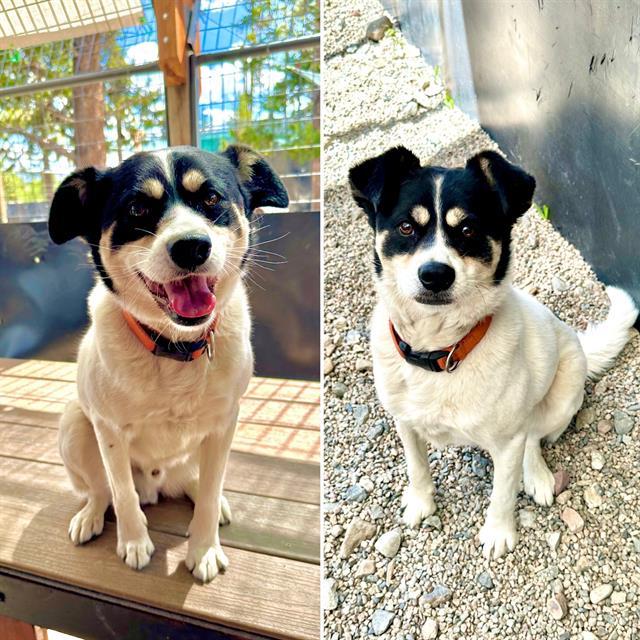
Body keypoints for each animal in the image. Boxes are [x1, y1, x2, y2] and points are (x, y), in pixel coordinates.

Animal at [48, 144, 288, 580]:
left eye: (211, 198)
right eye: (137, 209)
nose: (192, 246)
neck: (176, 347)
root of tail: (157, 485)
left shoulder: (224, 425)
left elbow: (209, 492)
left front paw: (204, 548)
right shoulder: (108, 430)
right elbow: (121, 493)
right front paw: (134, 541)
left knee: (200, 483)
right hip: (75, 425)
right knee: (102, 489)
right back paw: (92, 514)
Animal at [350, 148, 640, 556]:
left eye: (468, 230)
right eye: (406, 227)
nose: (435, 275)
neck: (441, 351)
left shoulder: (507, 443)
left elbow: (502, 493)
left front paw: (499, 533)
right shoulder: (404, 420)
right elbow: (417, 466)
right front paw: (421, 502)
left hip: (561, 398)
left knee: (533, 435)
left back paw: (537, 475)